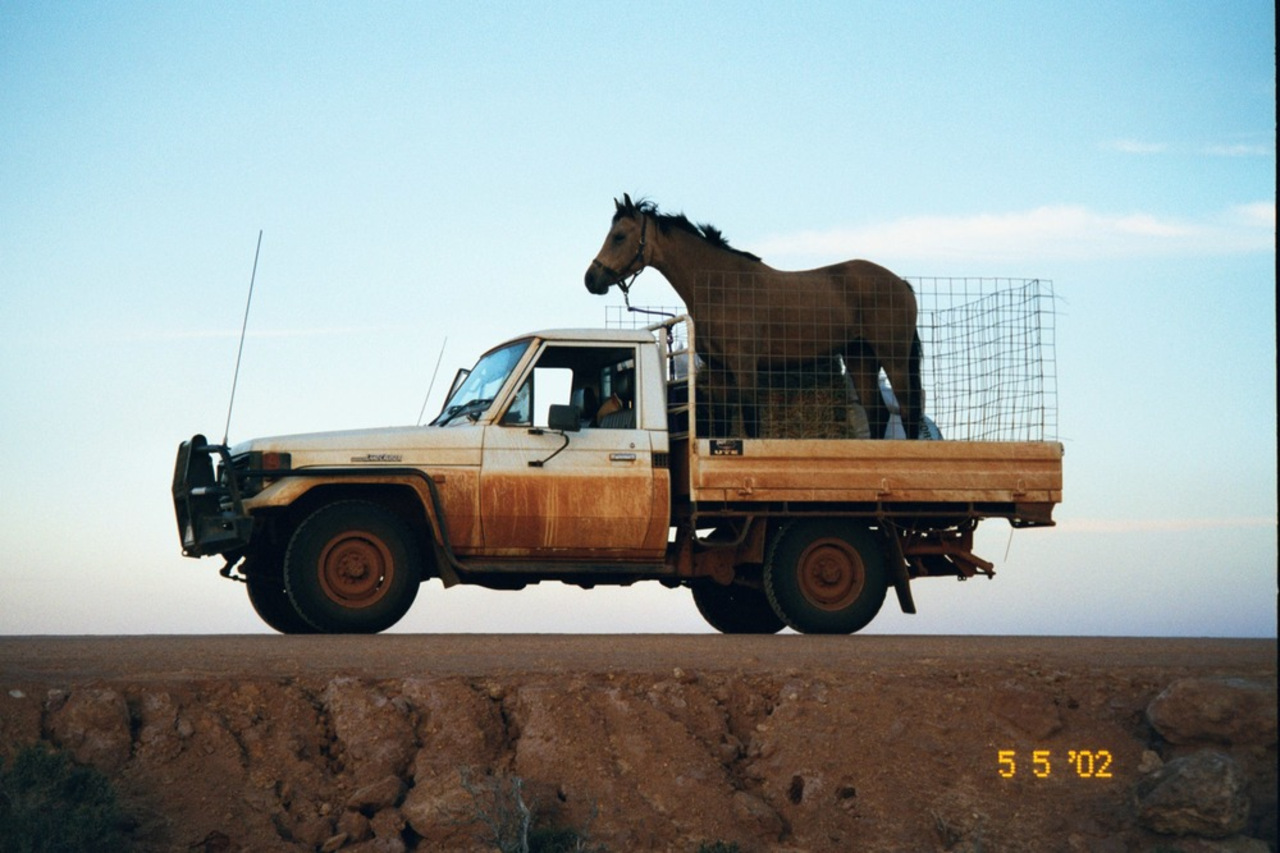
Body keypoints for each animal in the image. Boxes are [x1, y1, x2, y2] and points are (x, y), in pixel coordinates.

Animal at [586, 194, 926, 438]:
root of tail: (901, 283)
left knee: (908, 410)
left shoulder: (745, 368)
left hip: (893, 358)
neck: (721, 285)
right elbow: (724, 426)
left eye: (619, 236)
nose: (591, 279)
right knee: (879, 412)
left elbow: (750, 423)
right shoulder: (720, 371)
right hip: (860, 356)